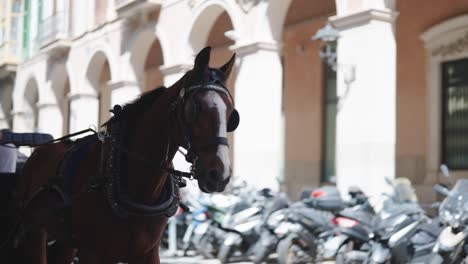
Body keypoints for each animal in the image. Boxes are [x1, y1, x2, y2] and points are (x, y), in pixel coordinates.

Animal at [13, 48, 238, 264]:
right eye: (193, 108)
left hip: (65, 241)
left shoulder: (147, 253)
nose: (218, 174)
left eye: (232, 115)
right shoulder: (93, 253)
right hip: (34, 231)